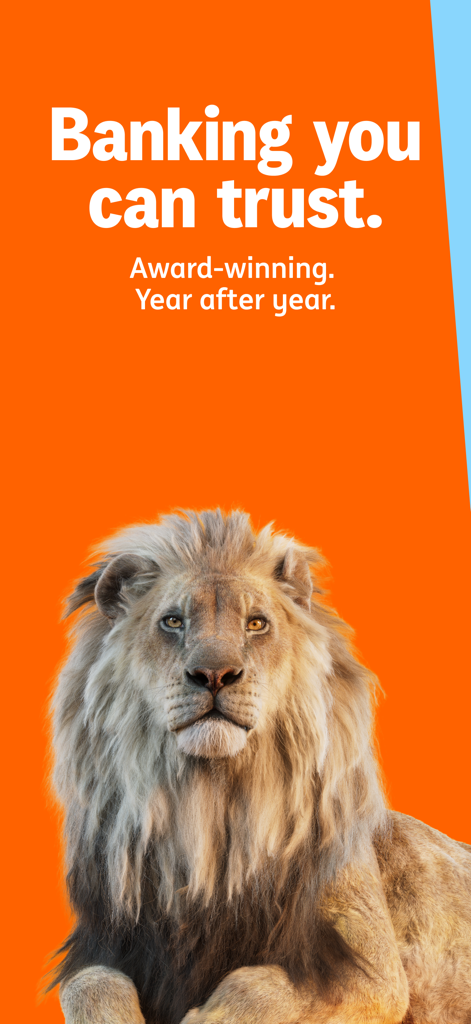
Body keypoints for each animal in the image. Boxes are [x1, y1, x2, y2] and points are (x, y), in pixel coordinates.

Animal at [51, 509, 471, 1024]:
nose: (213, 675)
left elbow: (261, 986)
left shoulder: (374, 972)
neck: (208, 811)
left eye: (256, 623)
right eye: (172, 621)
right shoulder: (110, 944)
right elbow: (90, 983)